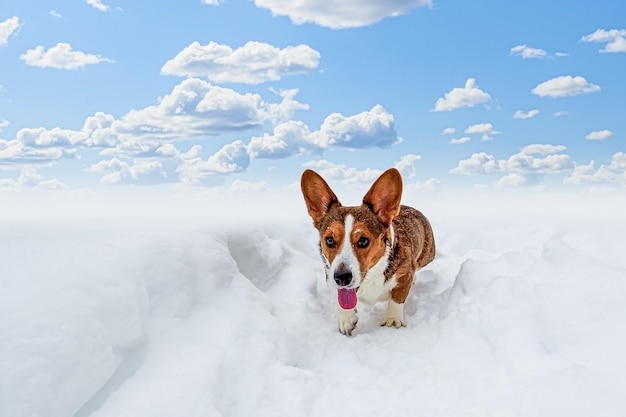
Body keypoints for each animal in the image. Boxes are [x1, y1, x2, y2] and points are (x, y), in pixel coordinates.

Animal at [300, 167, 432, 334]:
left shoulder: (406, 273)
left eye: (363, 241)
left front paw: (392, 320)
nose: (342, 278)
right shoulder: (330, 274)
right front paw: (346, 318)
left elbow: (397, 298)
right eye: (329, 240)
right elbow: (338, 294)